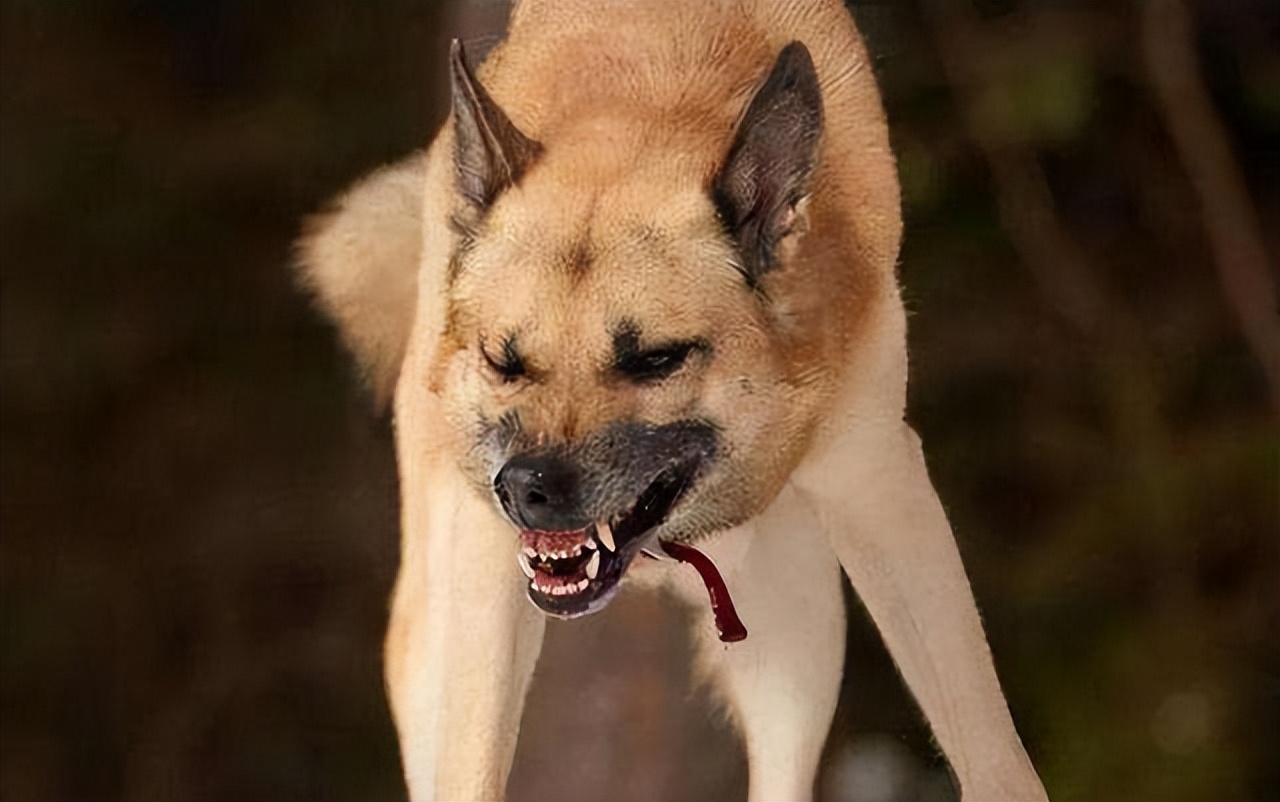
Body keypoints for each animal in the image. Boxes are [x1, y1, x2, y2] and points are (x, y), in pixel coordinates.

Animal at [296, 0, 1049, 798]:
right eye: (504, 360)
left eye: (655, 359)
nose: (526, 487)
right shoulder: (482, 568)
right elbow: (472, 766)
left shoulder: (881, 489)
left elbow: (991, 750)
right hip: (432, 640)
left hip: (799, 619)